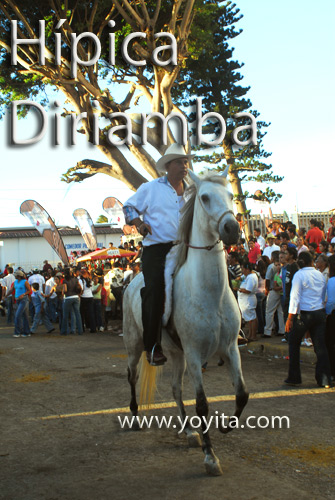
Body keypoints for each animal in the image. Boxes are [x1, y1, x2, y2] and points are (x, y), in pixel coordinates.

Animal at [123, 169, 249, 476]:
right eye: (204, 197)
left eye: (231, 195)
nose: (232, 229)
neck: (209, 292)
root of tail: (132, 282)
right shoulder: (194, 353)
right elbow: (202, 404)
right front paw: (210, 457)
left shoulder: (230, 348)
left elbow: (241, 394)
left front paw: (226, 428)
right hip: (135, 345)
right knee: (131, 376)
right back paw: (135, 417)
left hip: (176, 354)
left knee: (176, 389)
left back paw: (188, 431)